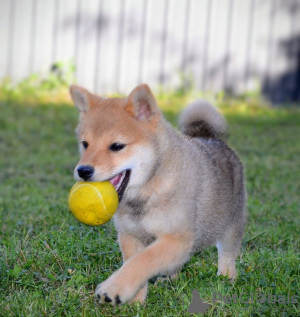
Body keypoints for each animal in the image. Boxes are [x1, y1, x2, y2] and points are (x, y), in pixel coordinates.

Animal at [69, 83, 246, 304]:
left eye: (117, 146)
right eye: (85, 144)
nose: (83, 171)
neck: (148, 190)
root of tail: (209, 137)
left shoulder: (177, 238)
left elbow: (142, 260)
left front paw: (114, 288)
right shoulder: (130, 235)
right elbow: (134, 262)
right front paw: (135, 302)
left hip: (232, 224)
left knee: (227, 255)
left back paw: (226, 279)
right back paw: (170, 279)